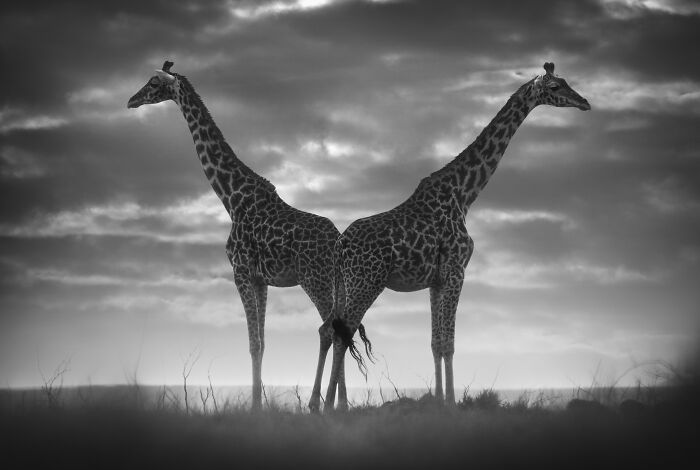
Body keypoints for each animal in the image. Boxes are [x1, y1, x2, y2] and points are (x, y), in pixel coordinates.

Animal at [127, 61, 351, 412]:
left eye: (152, 83)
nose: (131, 100)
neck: (231, 197)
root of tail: (339, 244)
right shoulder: (261, 280)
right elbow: (262, 342)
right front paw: (259, 402)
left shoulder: (240, 272)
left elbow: (253, 343)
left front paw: (256, 408)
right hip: (335, 284)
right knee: (342, 329)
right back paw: (339, 405)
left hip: (314, 280)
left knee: (327, 330)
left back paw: (319, 403)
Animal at [324, 62, 590, 409]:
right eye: (556, 87)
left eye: (566, 81)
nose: (585, 102)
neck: (465, 193)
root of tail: (340, 246)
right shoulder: (456, 269)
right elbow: (449, 343)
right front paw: (450, 404)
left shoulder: (435, 280)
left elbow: (436, 342)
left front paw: (439, 401)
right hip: (366, 282)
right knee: (343, 334)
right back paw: (331, 408)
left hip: (345, 285)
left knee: (335, 332)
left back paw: (328, 404)